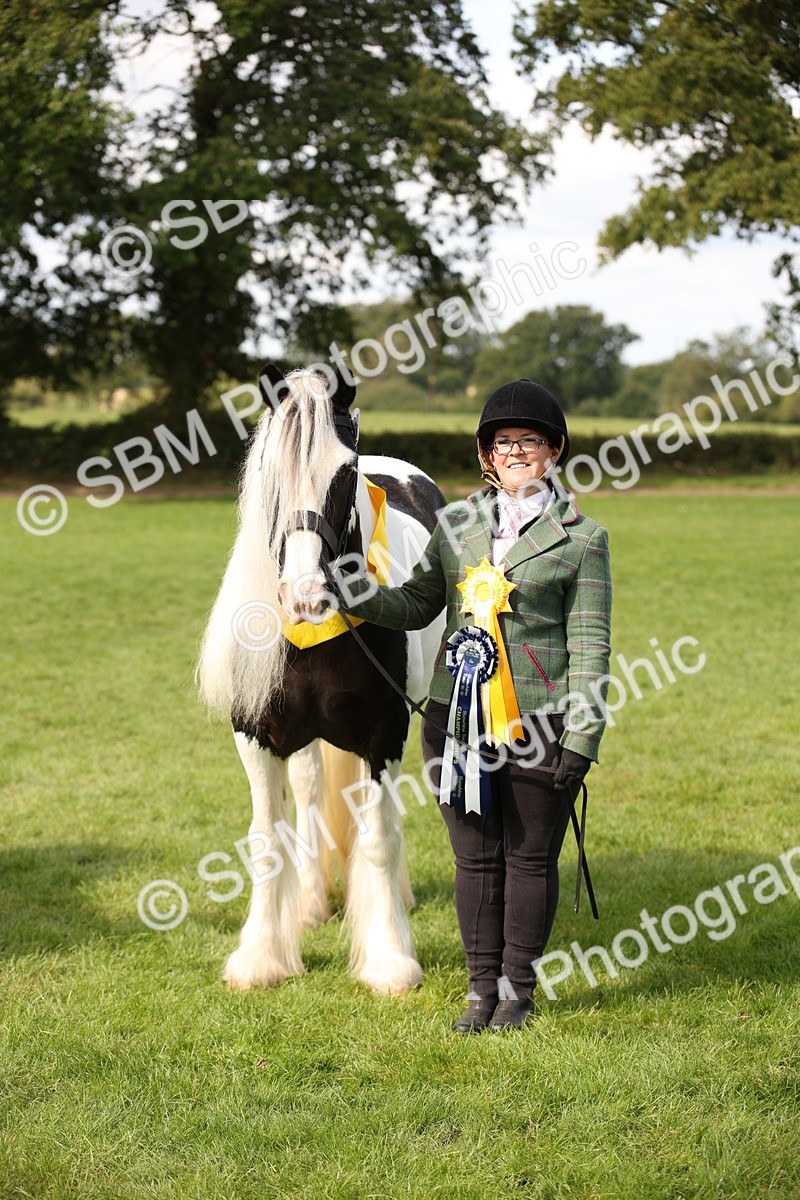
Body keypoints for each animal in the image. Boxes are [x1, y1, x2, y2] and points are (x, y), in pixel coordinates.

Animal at [196, 363, 446, 994]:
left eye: (345, 472)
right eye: (270, 471)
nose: (305, 595)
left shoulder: (385, 733)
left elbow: (378, 839)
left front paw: (389, 961)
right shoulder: (256, 736)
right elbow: (266, 841)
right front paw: (261, 958)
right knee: (309, 790)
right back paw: (311, 902)